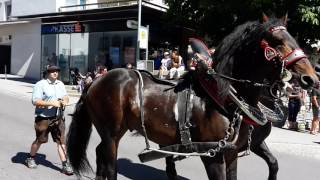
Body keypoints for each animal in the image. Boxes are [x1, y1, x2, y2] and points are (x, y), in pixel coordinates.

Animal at [66, 15, 316, 180]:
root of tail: (95, 81)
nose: (311, 78)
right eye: (277, 42)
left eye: (293, 38)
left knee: (101, 156)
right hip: (111, 132)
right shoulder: (213, 155)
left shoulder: (232, 153)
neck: (224, 97)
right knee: (108, 162)